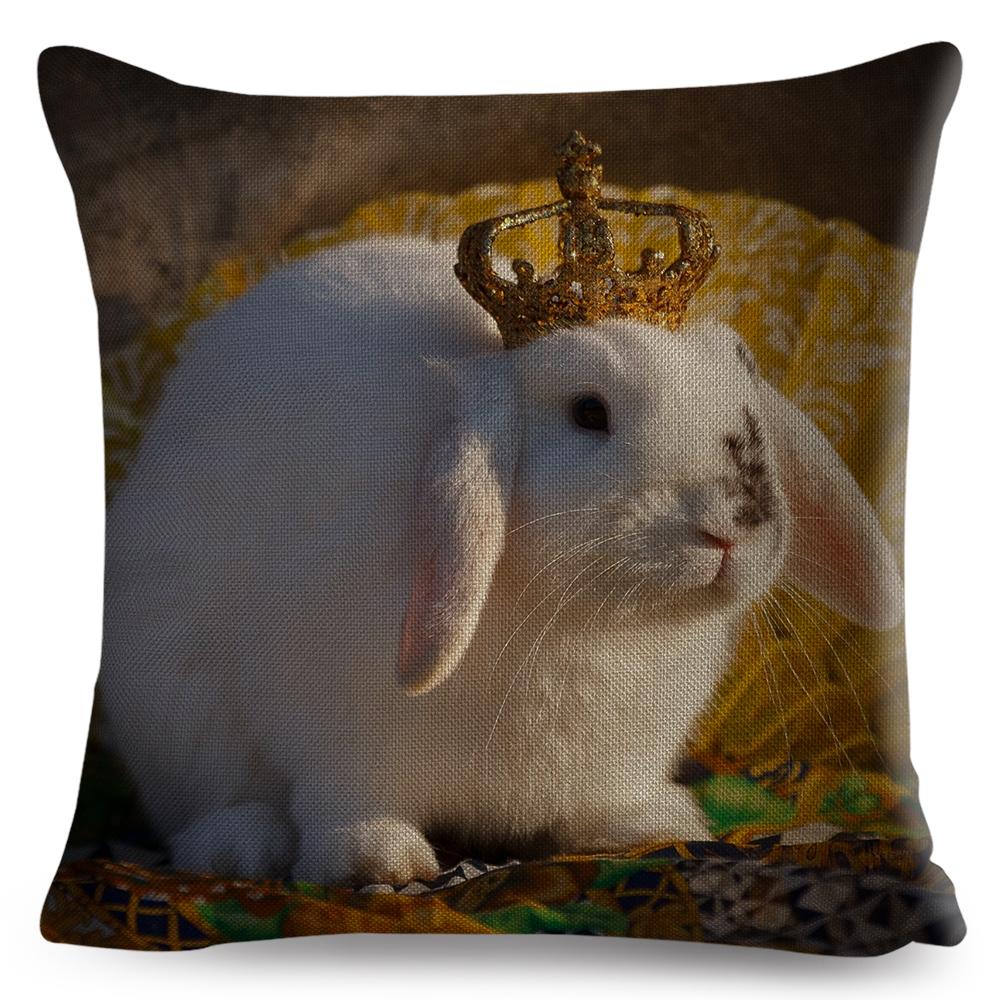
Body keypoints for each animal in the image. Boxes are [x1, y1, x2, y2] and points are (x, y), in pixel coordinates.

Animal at [97, 233, 904, 885]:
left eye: (746, 411)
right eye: (588, 412)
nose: (732, 529)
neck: (586, 619)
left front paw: (652, 825)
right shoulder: (330, 723)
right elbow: (344, 798)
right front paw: (376, 861)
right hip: (177, 719)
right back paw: (243, 845)